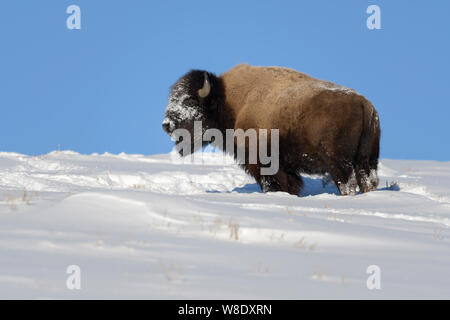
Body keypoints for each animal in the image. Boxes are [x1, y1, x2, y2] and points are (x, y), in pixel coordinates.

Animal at [162, 63, 380, 196]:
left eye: (189, 100)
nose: (166, 124)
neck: (229, 102)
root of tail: (364, 104)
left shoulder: (263, 163)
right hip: (366, 160)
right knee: (367, 182)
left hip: (339, 162)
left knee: (347, 183)